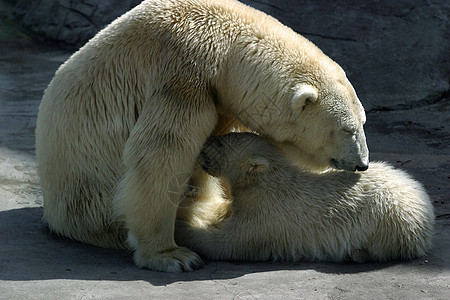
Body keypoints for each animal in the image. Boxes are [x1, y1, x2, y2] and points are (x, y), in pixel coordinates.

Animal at [37, 0, 370, 272]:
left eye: (363, 122)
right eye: (347, 128)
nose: (362, 163)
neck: (224, 45)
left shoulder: (221, 101)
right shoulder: (181, 77)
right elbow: (160, 158)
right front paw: (171, 255)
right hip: (90, 200)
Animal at [175, 134, 432, 262]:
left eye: (219, 142)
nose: (203, 146)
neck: (266, 182)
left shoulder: (268, 217)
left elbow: (225, 244)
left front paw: (181, 229)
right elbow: (221, 212)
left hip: (391, 216)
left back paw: (357, 254)